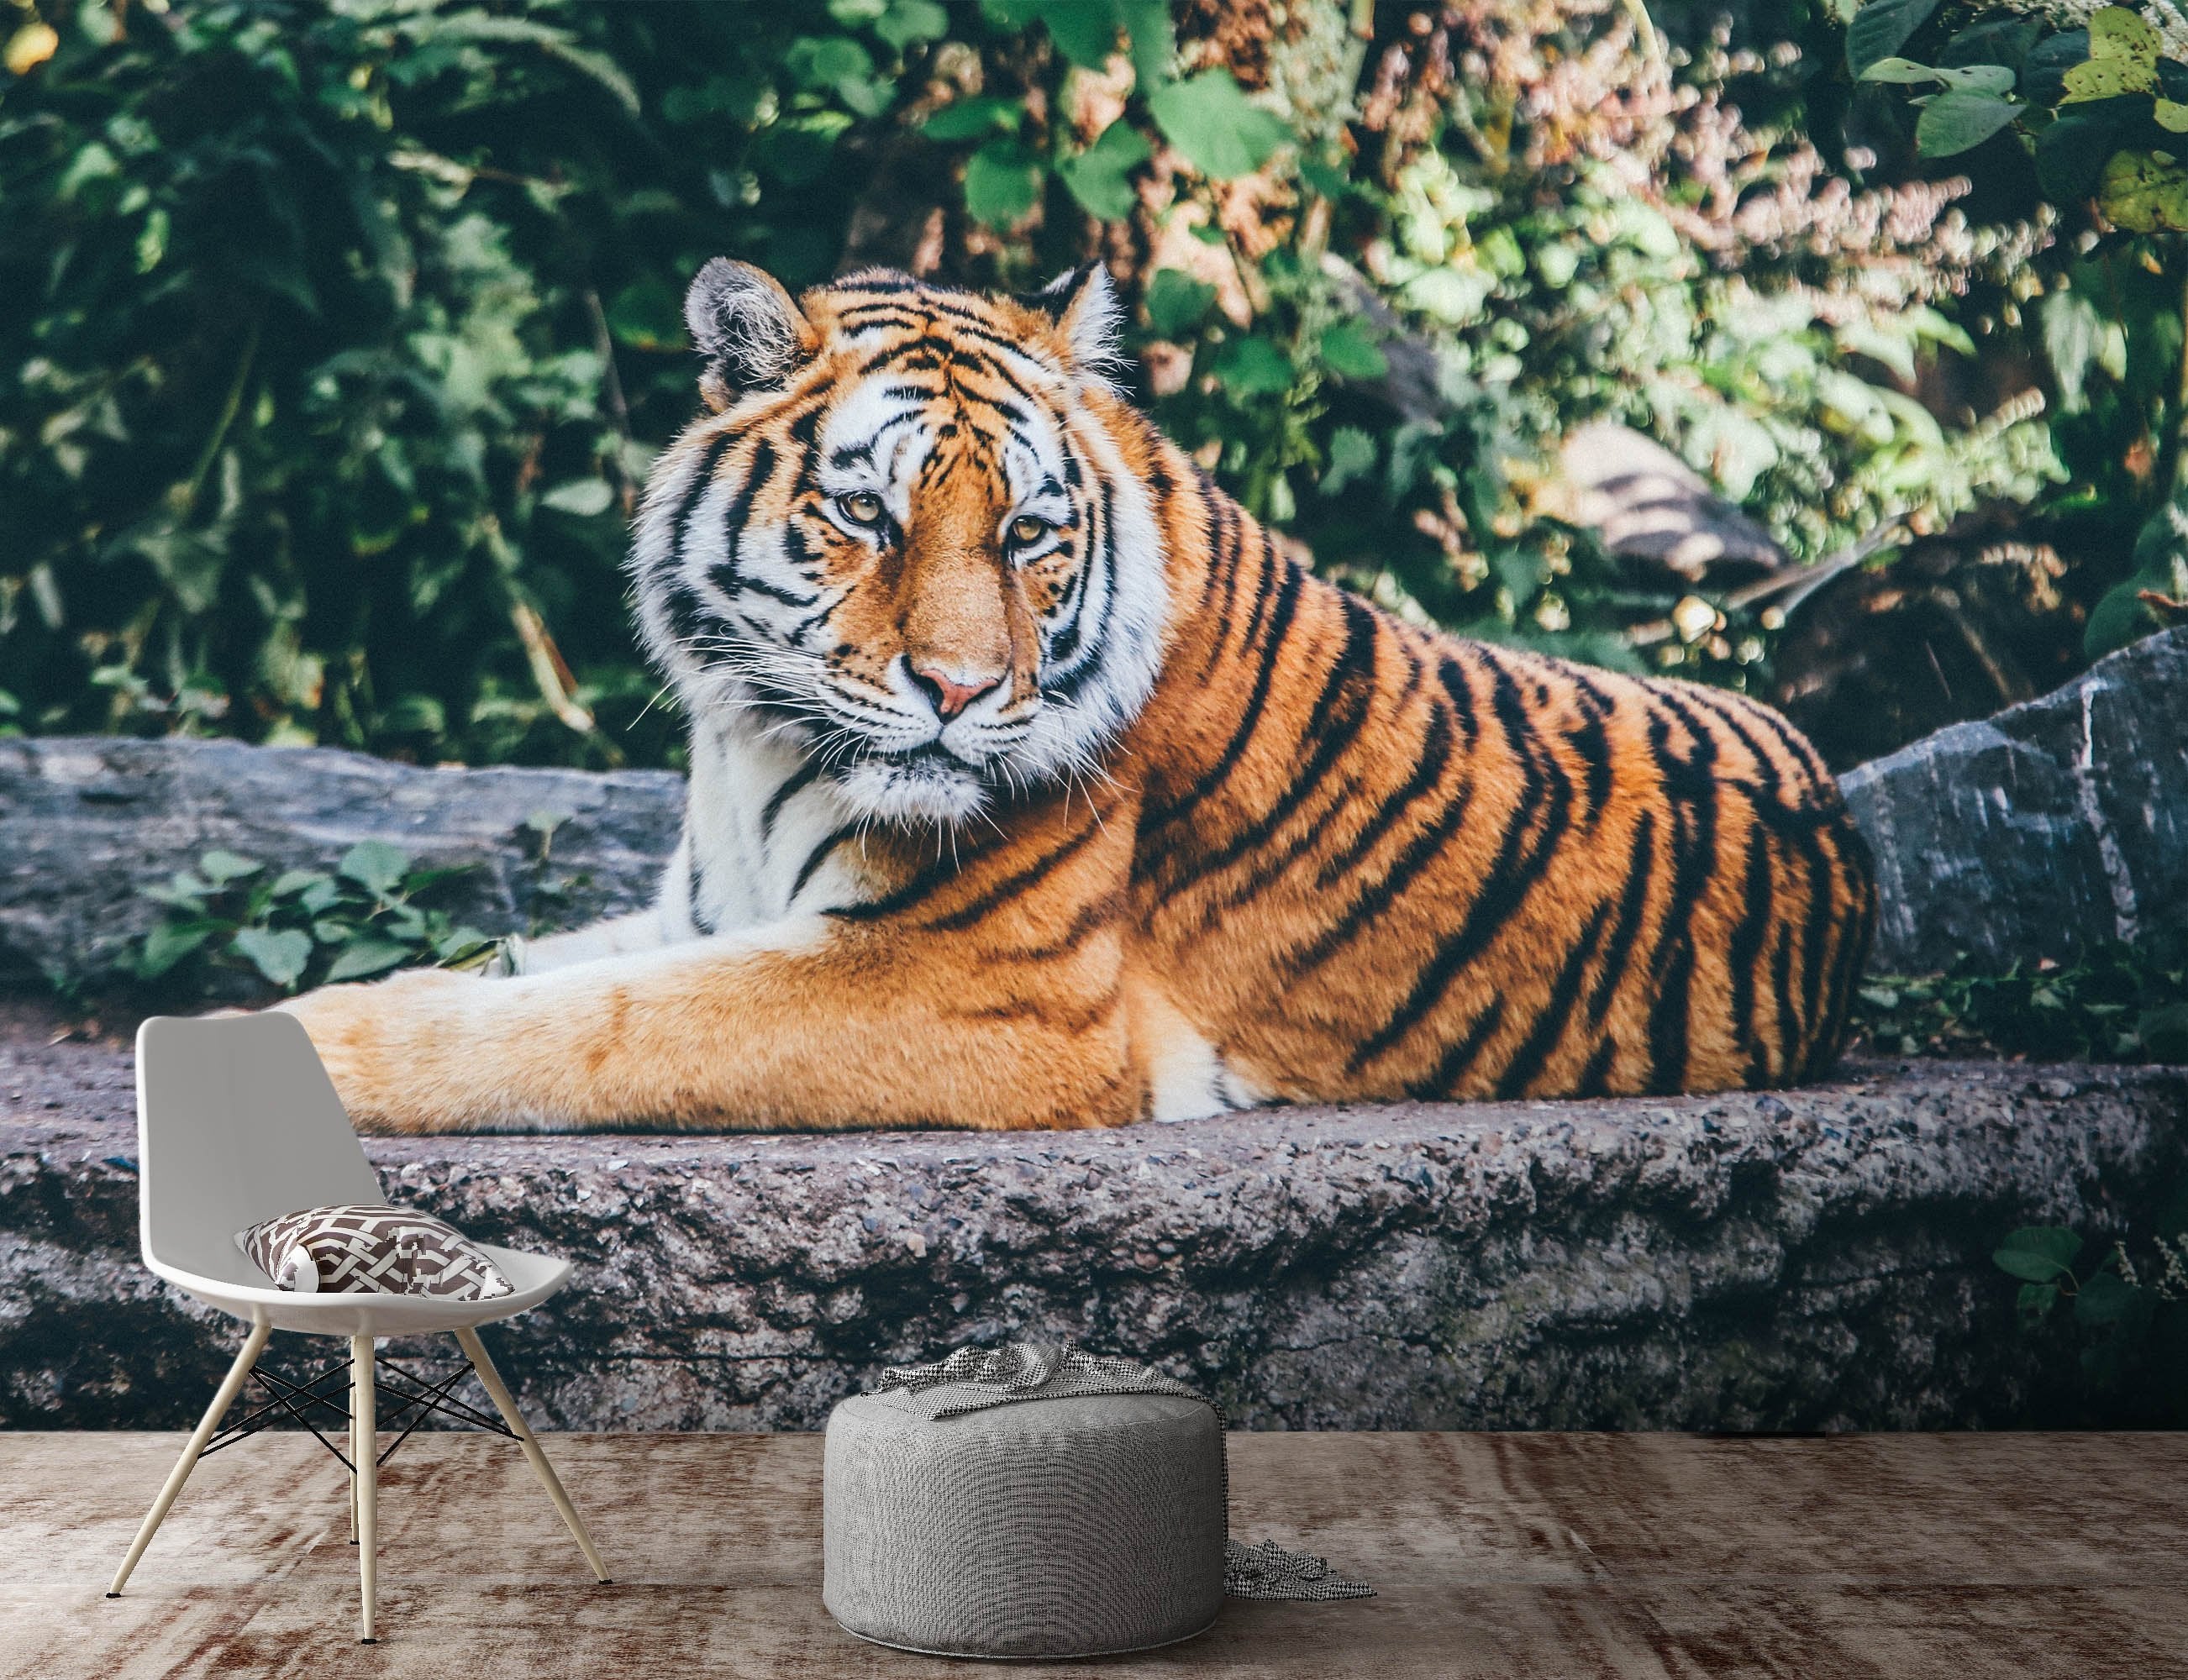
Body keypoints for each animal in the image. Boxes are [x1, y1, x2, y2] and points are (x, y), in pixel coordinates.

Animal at [276, 259, 1877, 1134]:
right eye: (863, 514)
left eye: (1029, 534)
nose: (958, 690)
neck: (753, 743)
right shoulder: (702, 912)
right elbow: (533, 972)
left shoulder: (974, 985)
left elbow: (588, 1027)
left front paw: (304, 1042)